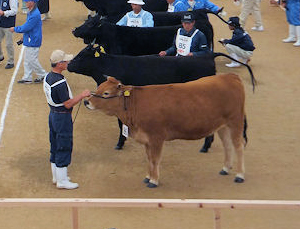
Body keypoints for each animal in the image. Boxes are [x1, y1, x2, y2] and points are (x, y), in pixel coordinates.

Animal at [84, 74, 246, 188]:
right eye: (98, 88)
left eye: (105, 93)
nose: (86, 101)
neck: (135, 104)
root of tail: (230, 76)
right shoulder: (146, 139)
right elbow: (149, 158)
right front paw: (148, 177)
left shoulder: (156, 137)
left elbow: (155, 159)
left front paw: (154, 181)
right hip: (222, 126)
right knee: (227, 145)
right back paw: (225, 168)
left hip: (235, 122)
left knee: (238, 146)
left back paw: (239, 175)